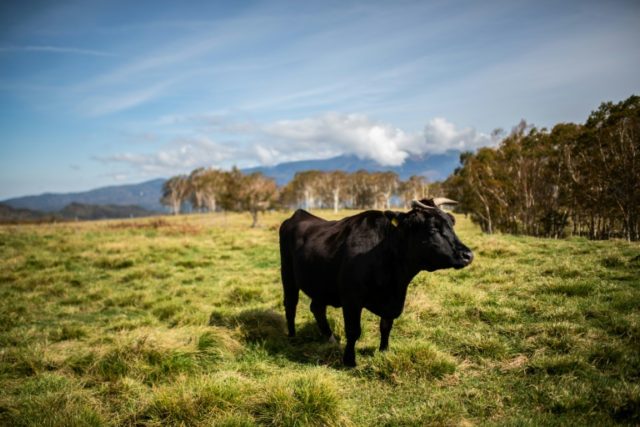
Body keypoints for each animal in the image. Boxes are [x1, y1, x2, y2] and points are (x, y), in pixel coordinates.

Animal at [279, 198, 474, 367]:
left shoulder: (393, 301)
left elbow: (386, 326)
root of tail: (299, 214)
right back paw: (292, 336)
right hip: (288, 275)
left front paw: (384, 351)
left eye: (452, 224)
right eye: (433, 229)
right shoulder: (351, 299)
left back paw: (330, 339)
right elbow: (353, 330)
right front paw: (349, 361)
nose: (468, 255)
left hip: (321, 284)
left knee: (317, 308)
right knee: (291, 304)